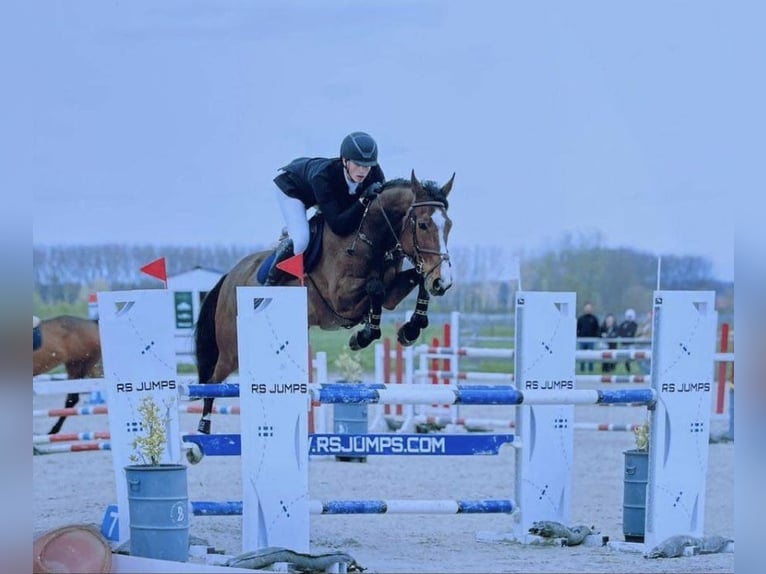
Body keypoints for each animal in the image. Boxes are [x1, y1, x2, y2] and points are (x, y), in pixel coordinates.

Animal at [194, 173, 456, 434]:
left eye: (449, 226)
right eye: (423, 225)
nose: (443, 282)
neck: (369, 237)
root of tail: (229, 276)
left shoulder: (392, 293)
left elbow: (415, 279)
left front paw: (410, 328)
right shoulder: (341, 298)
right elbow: (375, 288)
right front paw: (364, 335)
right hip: (232, 348)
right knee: (214, 380)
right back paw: (203, 428)